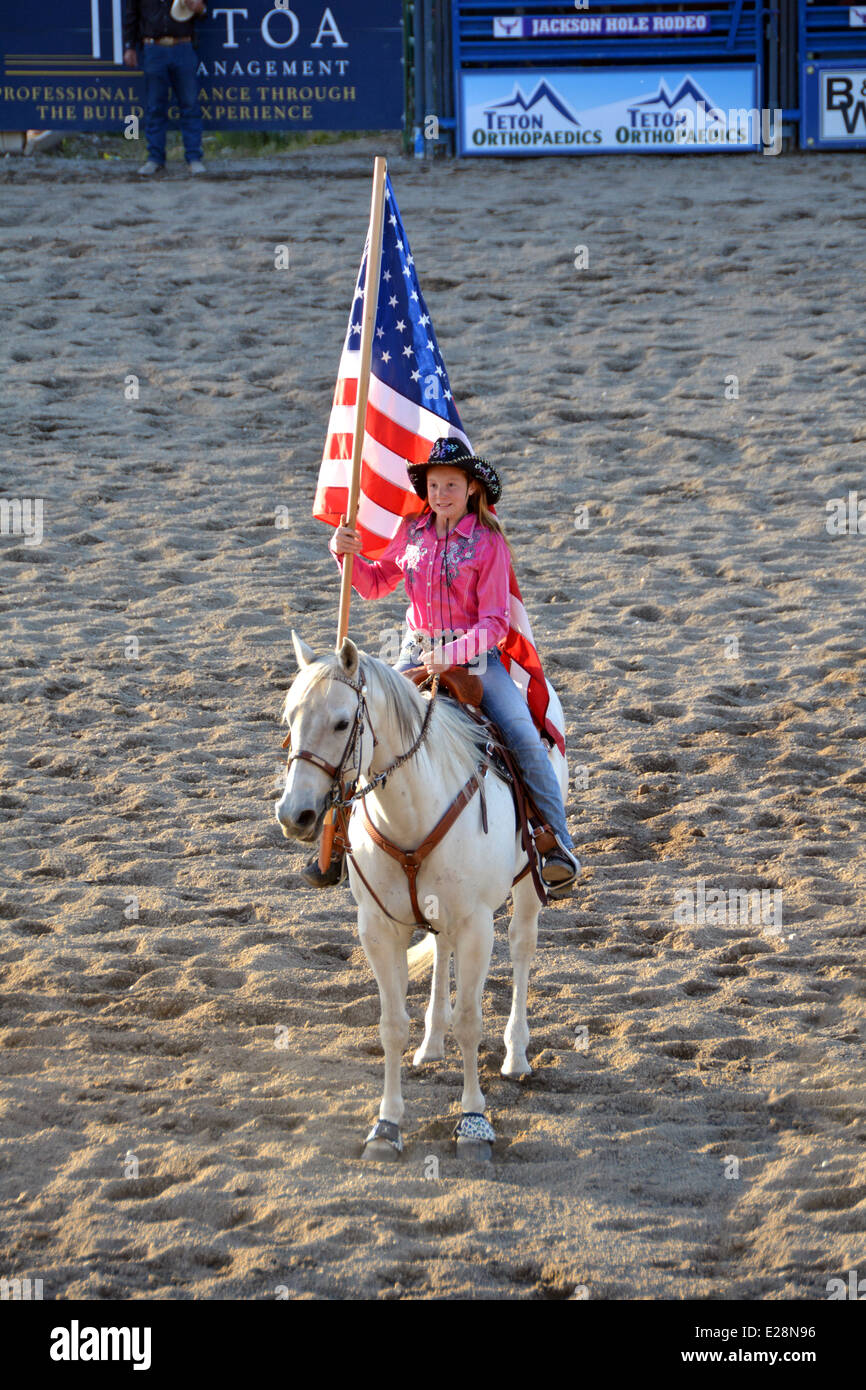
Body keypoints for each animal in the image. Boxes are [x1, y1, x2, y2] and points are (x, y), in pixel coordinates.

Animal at [273, 636, 567, 1156]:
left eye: (342, 722)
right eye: (290, 720)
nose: (294, 815)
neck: (410, 812)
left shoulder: (476, 926)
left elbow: (471, 1022)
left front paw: (473, 1121)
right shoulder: (377, 928)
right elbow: (391, 1026)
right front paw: (386, 1126)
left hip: (527, 887)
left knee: (522, 949)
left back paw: (516, 1054)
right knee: (441, 948)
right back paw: (431, 1044)